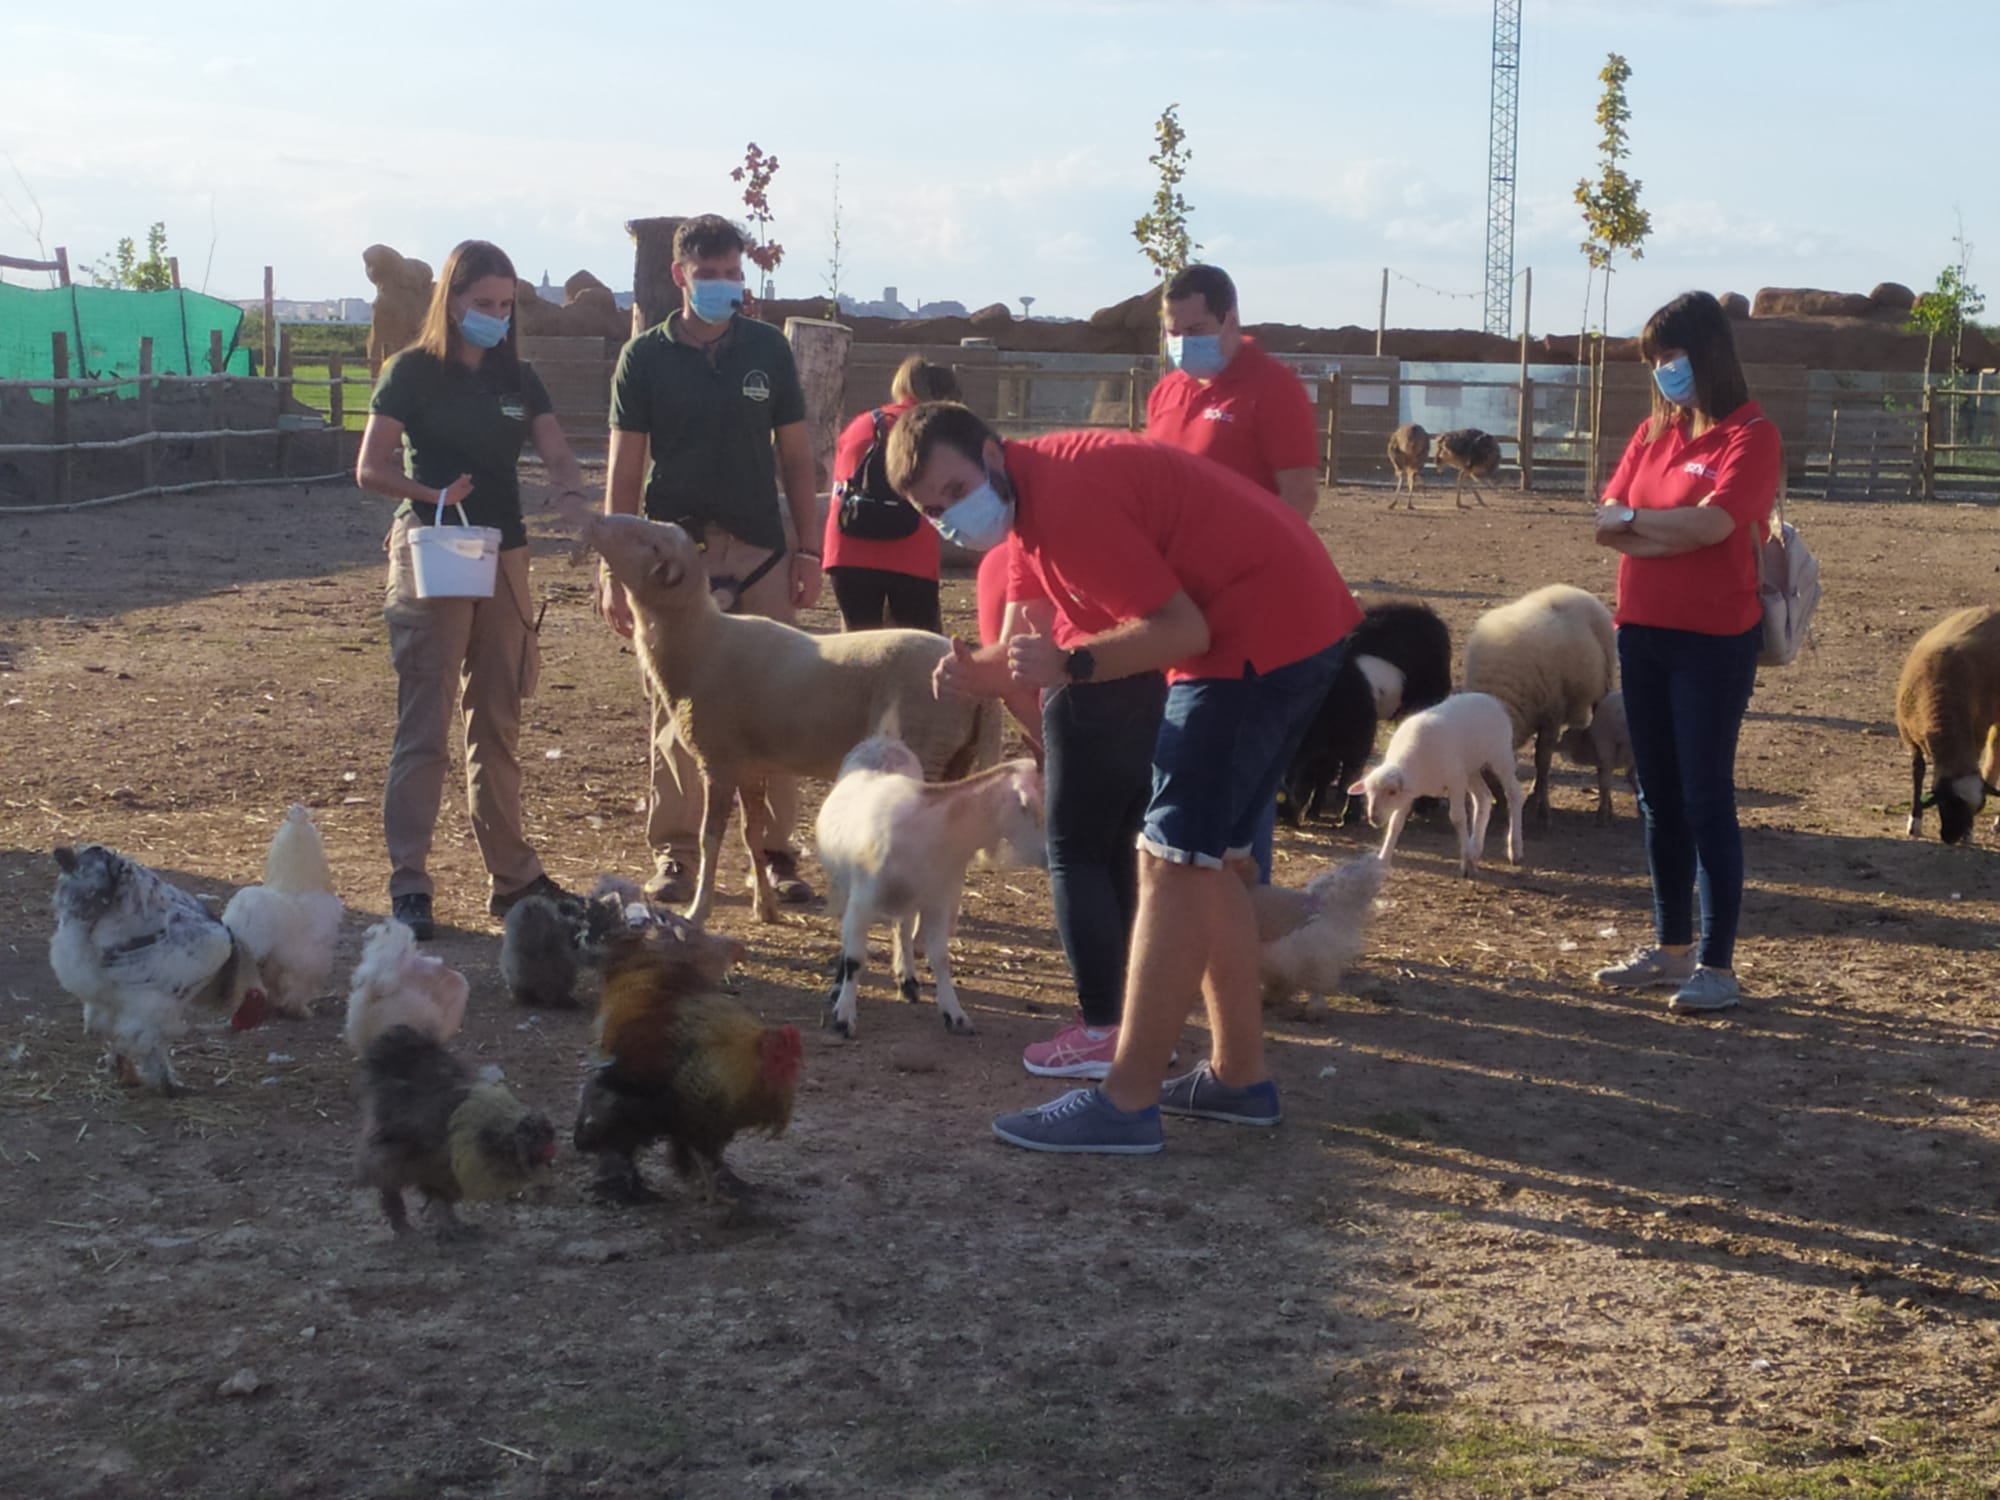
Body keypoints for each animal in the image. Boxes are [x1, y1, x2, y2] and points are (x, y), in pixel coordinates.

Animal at [564, 508, 1000, 928]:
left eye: (645, 540)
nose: (594, 520)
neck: (700, 641)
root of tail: (976, 679)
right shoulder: (751, 765)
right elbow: (751, 834)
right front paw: (766, 907)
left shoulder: (718, 759)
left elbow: (710, 838)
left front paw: (698, 911)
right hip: (953, 756)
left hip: (925, 746)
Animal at [812, 740, 1048, 1048]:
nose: (1052, 856)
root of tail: (884, 740)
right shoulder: (862, 899)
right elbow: (854, 957)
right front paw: (843, 1017)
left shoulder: (937, 900)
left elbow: (940, 958)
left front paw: (955, 1016)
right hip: (844, 885)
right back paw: (839, 987)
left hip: (911, 899)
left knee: (902, 929)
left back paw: (908, 981)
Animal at [1464, 580, 1616, 828]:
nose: (1500, 809)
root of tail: (1571, 589)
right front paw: (1534, 798)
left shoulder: (1551, 715)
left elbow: (1542, 762)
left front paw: (1543, 809)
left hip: (1602, 688)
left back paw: (1604, 807)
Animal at [1888, 608, 2000, 848]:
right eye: (1949, 804)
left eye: (1977, 808)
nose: (1951, 839)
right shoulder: (1908, 736)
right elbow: (1918, 771)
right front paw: (1914, 822)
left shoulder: (1975, 734)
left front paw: (1969, 834)